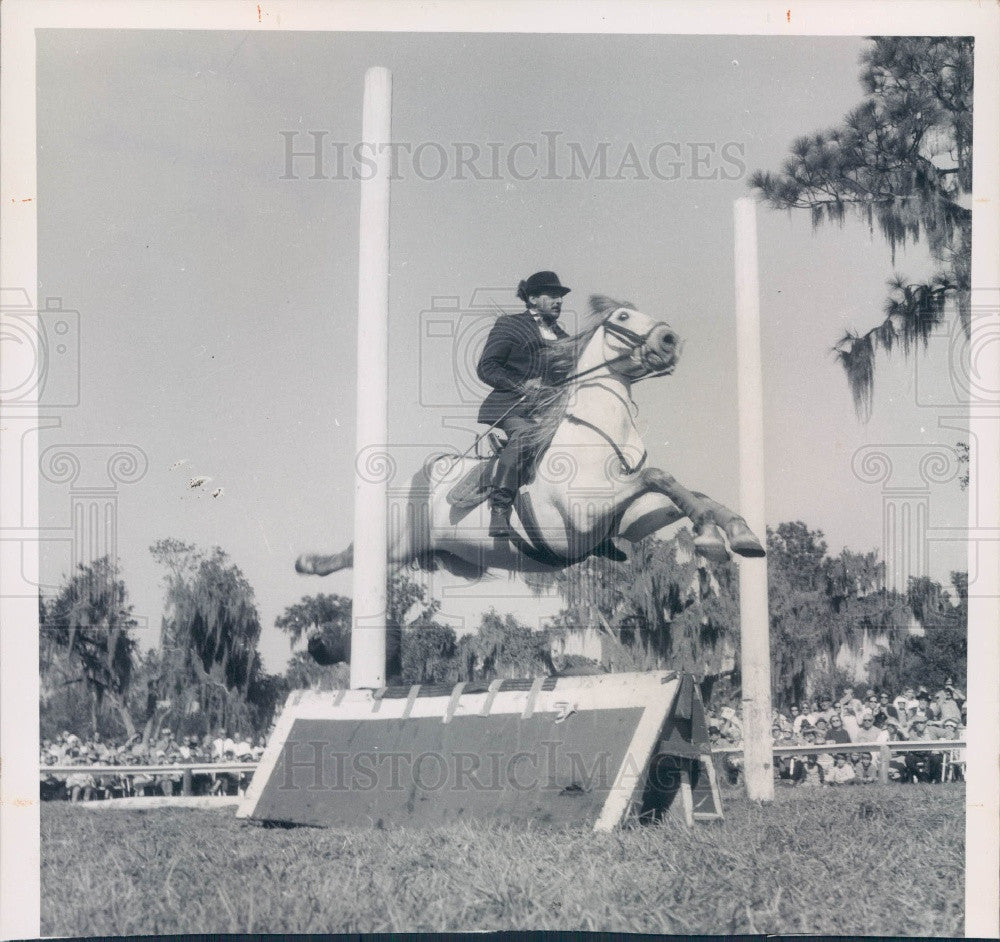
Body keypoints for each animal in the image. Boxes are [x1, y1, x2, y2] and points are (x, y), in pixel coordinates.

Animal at [296, 296, 764, 580]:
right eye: (623, 318)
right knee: (353, 555)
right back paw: (310, 562)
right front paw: (713, 537)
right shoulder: (585, 512)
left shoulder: (631, 520)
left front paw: (734, 533)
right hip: (392, 543)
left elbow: (691, 493)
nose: (670, 340)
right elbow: (658, 476)